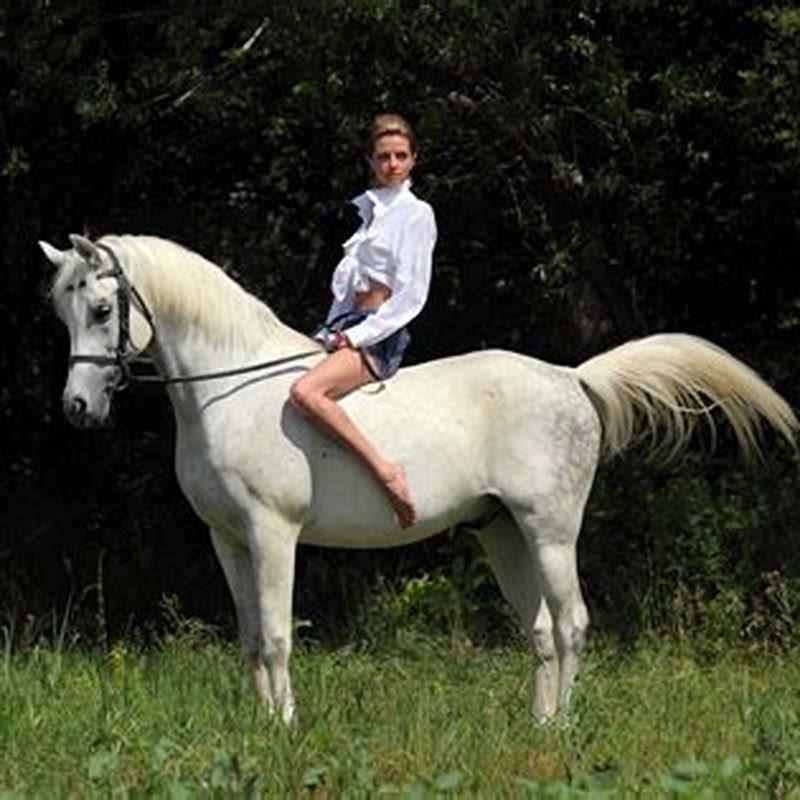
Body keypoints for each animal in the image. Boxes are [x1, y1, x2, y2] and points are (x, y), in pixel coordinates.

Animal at [40, 233, 797, 724]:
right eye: (62, 311)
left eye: (102, 310)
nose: (78, 408)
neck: (225, 393)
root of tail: (572, 378)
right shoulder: (226, 538)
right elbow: (252, 639)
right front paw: (259, 727)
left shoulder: (273, 533)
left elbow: (279, 635)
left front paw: (284, 729)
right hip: (502, 533)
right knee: (542, 631)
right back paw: (538, 727)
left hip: (550, 529)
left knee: (573, 623)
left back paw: (566, 730)